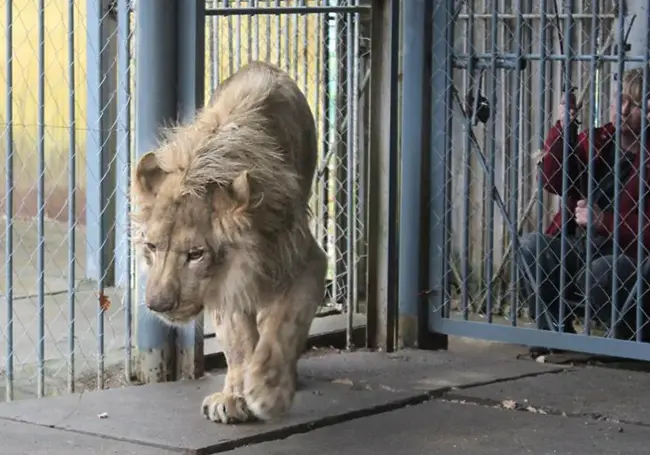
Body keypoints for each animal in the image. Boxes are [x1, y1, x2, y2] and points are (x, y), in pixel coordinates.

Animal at [130, 59, 330, 424]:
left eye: (195, 254)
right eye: (151, 247)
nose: (158, 305)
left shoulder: (309, 262)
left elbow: (283, 325)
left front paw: (267, 390)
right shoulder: (223, 285)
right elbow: (237, 340)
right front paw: (234, 396)